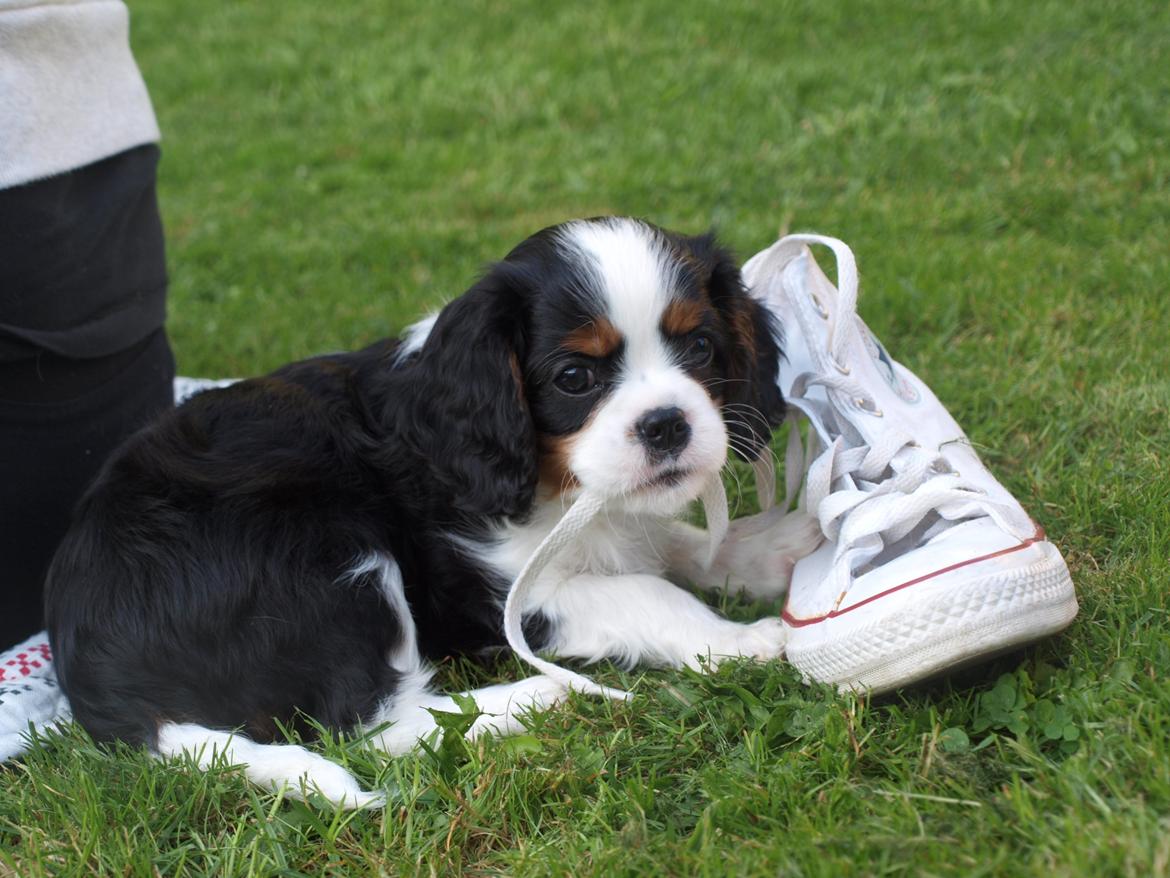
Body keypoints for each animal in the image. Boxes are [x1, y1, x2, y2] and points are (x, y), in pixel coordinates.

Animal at [45, 216, 823, 810]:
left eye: (702, 347)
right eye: (575, 377)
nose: (667, 425)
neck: (562, 486)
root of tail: (100, 684)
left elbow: (673, 544)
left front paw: (773, 552)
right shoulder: (509, 592)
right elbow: (646, 591)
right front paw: (737, 640)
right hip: (329, 558)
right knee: (371, 724)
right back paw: (538, 697)